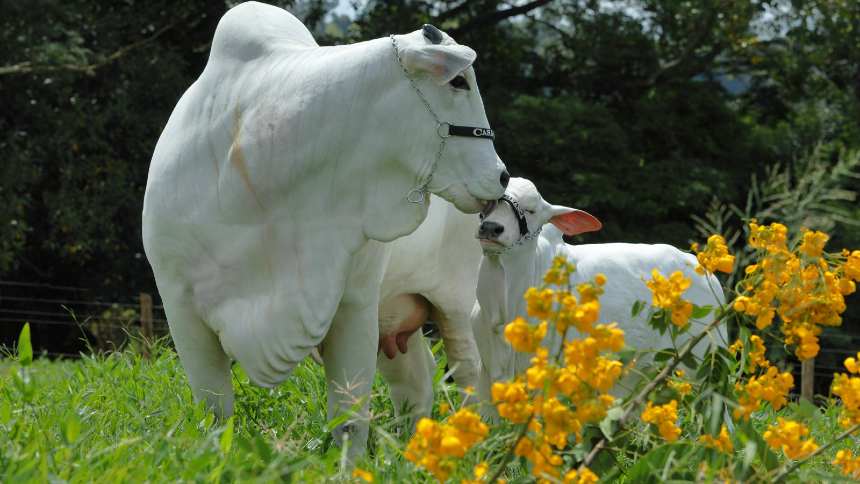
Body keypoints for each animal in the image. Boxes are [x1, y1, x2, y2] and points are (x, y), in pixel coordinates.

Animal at [142, 0, 508, 454]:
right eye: (458, 81)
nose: (500, 176)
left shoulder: (354, 303)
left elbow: (349, 420)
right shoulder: (181, 310)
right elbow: (215, 414)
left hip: (456, 300)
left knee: (469, 371)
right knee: (415, 384)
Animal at [470, 178, 724, 412]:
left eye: (531, 210)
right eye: (488, 203)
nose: (491, 227)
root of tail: (698, 265)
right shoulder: (486, 376)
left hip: (702, 368)